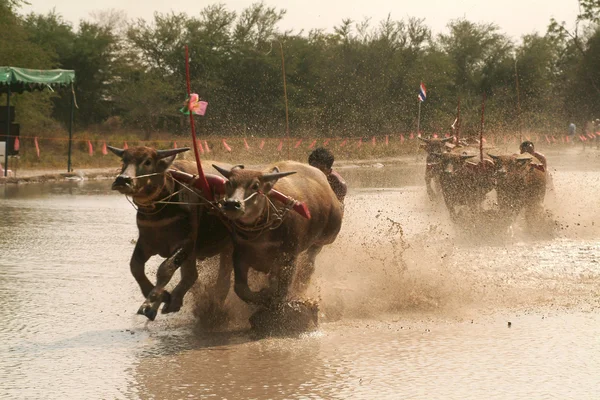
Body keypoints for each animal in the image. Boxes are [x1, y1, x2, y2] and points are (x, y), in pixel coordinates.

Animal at [106, 145, 231, 320]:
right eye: (124, 160)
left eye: (148, 161)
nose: (122, 180)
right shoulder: (146, 242)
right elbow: (135, 266)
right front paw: (161, 296)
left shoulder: (186, 243)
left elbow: (165, 269)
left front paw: (150, 302)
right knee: (192, 275)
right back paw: (175, 301)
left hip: (229, 247)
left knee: (223, 277)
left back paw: (215, 306)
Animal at [212, 161, 344, 308]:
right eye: (229, 183)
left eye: (255, 185)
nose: (231, 204)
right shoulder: (239, 255)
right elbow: (241, 289)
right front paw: (263, 295)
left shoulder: (289, 258)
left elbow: (281, 291)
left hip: (325, 238)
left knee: (309, 263)